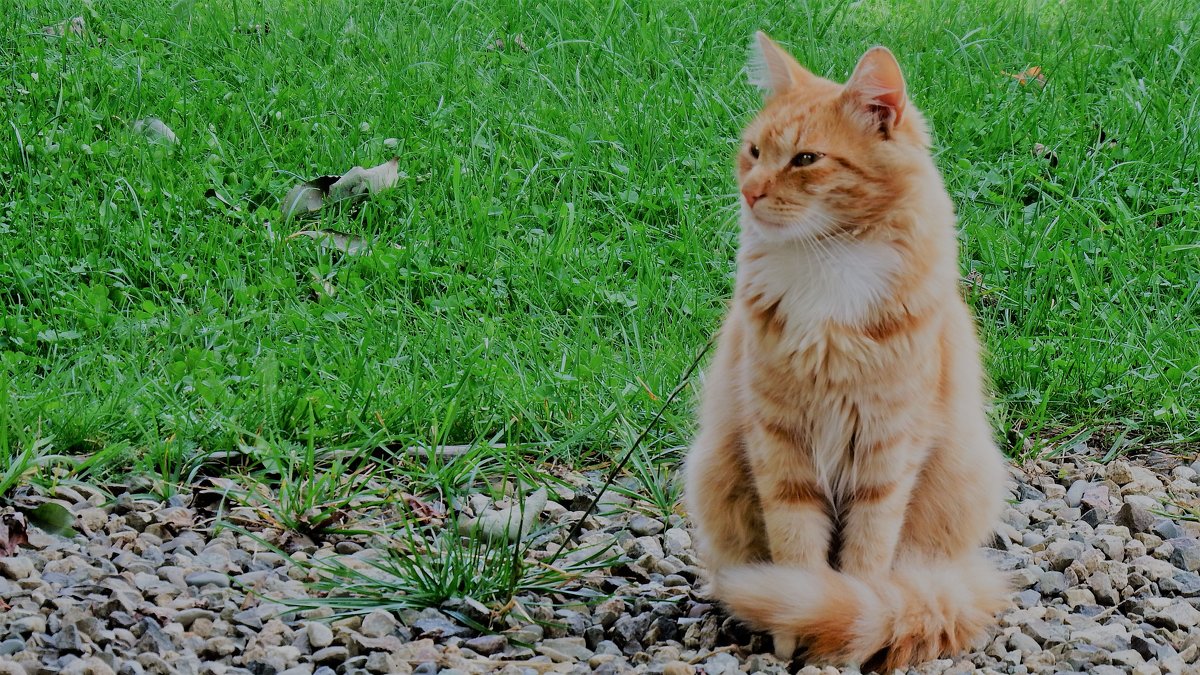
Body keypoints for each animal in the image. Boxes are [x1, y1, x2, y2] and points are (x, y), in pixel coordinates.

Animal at [686, 32, 1012, 667]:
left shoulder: (888, 449)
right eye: (754, 151)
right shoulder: (780, 442)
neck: (829, 265)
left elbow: (866, 558)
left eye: (806, 160)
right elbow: (797, 551)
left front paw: (850, 621)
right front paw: (794, 630)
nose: (750, 191)